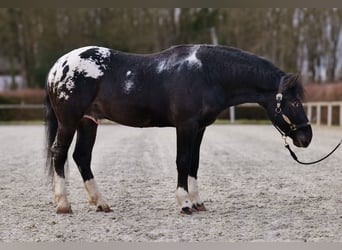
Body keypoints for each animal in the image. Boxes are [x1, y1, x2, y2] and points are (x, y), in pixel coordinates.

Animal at [45, 44, 312, 214]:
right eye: (295, 102)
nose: (306, 137)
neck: (207, 73)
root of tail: (57, 66)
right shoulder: (185, 125)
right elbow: (182, 161)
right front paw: (184, 204)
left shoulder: (200, 128)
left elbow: (194, 162)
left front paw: (197, 202)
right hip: (69, 121)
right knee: (59, 153)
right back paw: (64, 204)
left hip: (88, 121)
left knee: (82, 157)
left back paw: (101, 203)